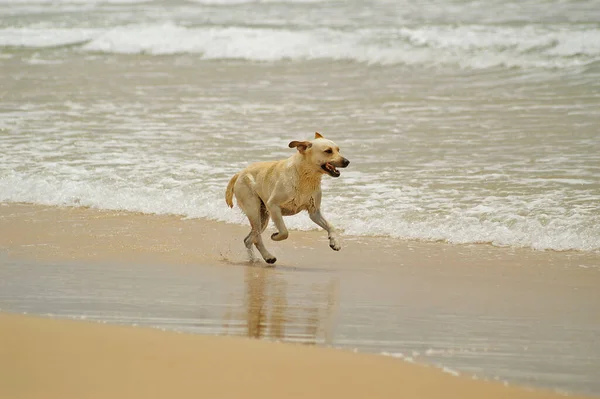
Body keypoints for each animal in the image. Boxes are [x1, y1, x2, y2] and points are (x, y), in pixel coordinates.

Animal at [225, 133, 350, 266]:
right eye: (328, 151)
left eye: (338, 150)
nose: (347, 161)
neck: (305, 176)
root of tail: (240, 173)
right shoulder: (273, 205)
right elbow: (284, 232)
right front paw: (275, 236)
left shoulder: (314, 212)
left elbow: (331, 226)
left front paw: (335, 242)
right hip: (254, 210)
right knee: (256, 238)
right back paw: (268, 257)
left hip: (263, 216)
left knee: (249, 239)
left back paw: (255, 259)